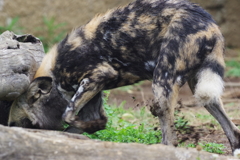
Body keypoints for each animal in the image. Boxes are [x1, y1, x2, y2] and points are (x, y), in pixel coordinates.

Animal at [7, 0, 240, 154]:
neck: (54, 76)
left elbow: (68, 116)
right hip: (200, 88)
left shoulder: (98, 75)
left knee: (168, 133)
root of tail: (208, 21)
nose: (14, 132)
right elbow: (76, 125)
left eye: (23, 122)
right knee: (231, 127)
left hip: (162, 81)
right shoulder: (92, 91)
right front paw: (97, 127)